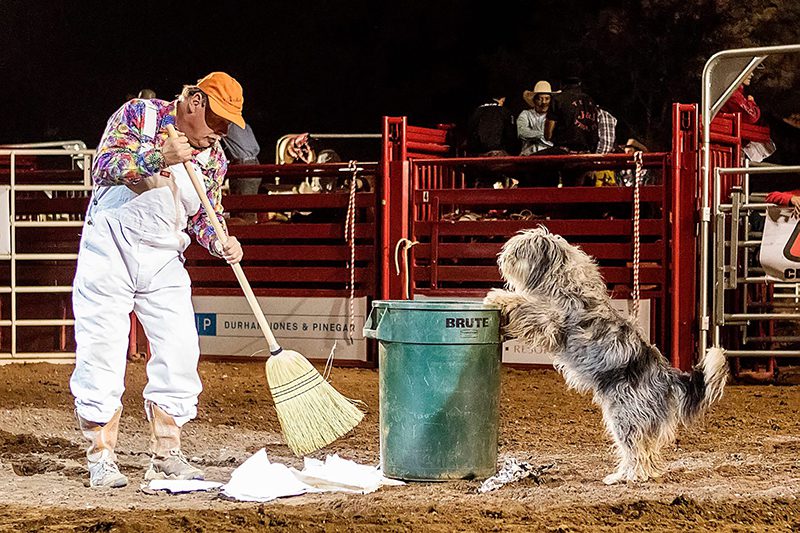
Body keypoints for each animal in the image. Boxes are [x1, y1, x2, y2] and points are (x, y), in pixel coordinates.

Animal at [484, 227, 728, 484]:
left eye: (519, 251)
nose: (502, 258)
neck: (560, 277)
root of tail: (667, 375)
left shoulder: (548, 319)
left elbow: (524, 304)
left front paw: (497, 297)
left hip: (625, 417)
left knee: (636, 452)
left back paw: (626, 477)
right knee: (647, 453)